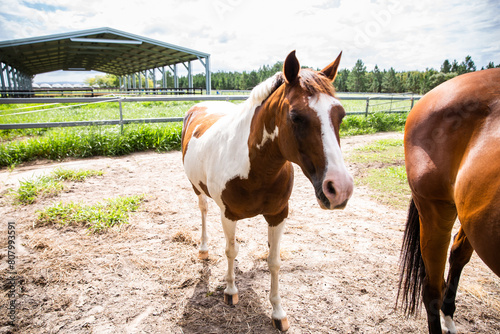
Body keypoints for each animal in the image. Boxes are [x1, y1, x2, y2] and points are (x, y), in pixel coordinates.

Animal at [182, 51, 354, 330]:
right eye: (296, 116)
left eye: (340, 114)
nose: (339, 189)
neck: (255, 166)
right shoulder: (228, 215)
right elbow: (230, 250)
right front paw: (230, 291)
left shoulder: (278, 215)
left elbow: (274, 261)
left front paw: (278, 313)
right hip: (197, 189)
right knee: (204, 211)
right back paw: (204, 249)